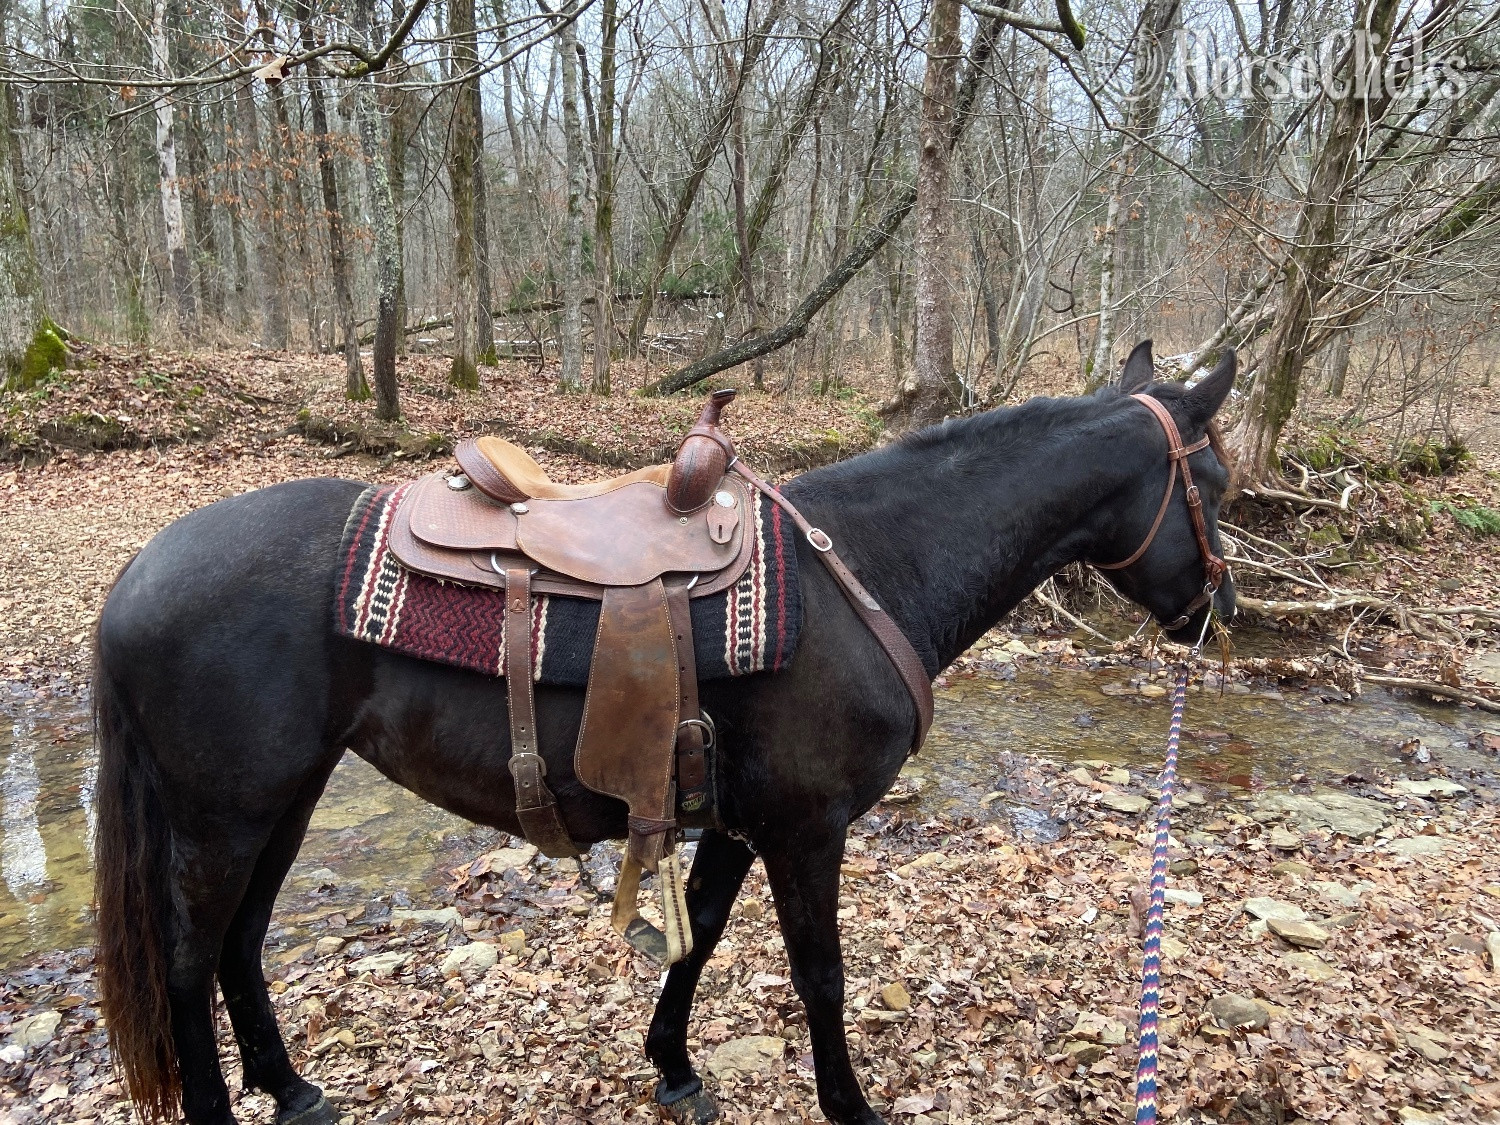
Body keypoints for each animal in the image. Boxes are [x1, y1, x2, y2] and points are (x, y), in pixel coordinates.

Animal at [92, 342, 1237, 1125]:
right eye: (1216, 483)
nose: (1216, 615)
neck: (865, 568)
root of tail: (133, 575)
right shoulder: (809, 828)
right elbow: (819, 973)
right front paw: (849, 1105)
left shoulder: (735, 820)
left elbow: (705, 934)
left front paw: (675, 1067)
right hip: (224, 814)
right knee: (189, 957)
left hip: (283, 798)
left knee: (240, 940)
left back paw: (290, 1089)